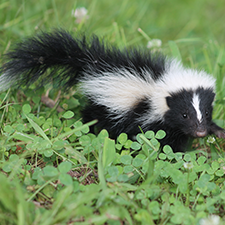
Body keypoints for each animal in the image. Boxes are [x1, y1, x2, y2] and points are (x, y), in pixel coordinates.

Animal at [0, 29, 225, 151]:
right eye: (184, 114)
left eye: (206, 112)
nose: (200, 131)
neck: (158, 82)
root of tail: (90, 61)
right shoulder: (144, 117)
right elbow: (159, 139)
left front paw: (218, 130)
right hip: (102, 108)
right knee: (92, 117)